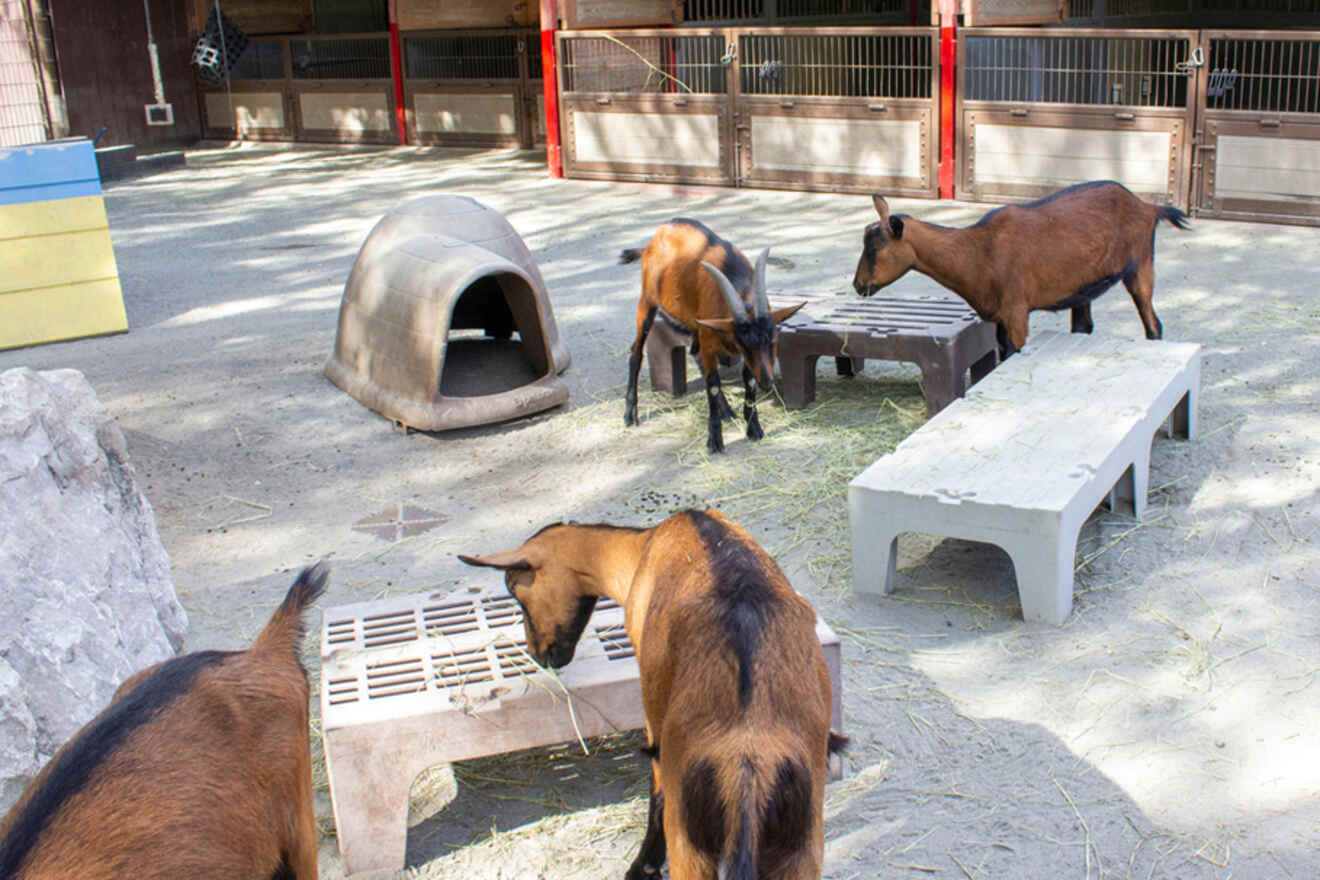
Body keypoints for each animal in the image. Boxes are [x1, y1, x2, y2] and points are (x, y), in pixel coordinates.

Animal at [459, 509, 850, 880]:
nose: (541, 655)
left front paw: (643, 865)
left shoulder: (653, 706)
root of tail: (749, 758)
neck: (639, 550)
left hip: (692, 848)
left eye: (514, 588)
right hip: (799, 847)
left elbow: (656, 787)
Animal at [620, 219, 802, 453]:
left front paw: (753, 427)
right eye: (743, 344)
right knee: (636, 352)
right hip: (647, 302)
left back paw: (727, 411)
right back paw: (630, 414)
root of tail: (652, 241)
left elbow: (748, 380)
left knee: (694, 354)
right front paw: (715, 440)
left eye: (773, 340)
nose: (768, 382)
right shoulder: (710, 339)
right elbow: (713, 384)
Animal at [850, 179, 1193, 358]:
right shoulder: (999, 318)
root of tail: (1148, 207)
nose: (858, 285)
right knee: (1084, 325)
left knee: (1153, 323)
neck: (978, 252)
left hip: (1141, 265)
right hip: (1083, 287)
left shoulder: (1016, 312)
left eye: (875, 247)